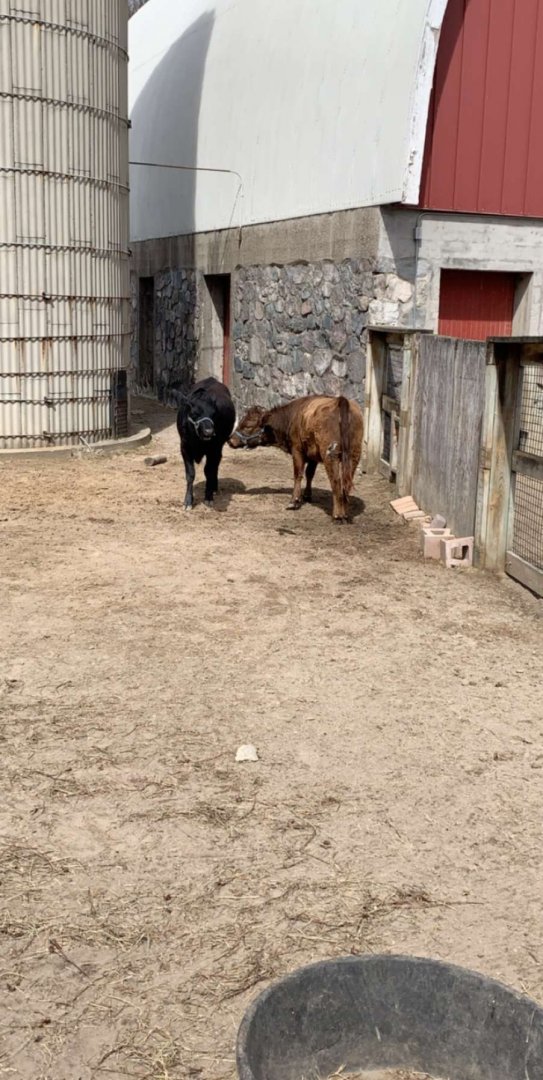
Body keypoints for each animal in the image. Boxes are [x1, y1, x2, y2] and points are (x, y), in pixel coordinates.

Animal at [175, 377, 236, 510]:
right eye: (195, 414)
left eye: (214, 414)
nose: (209, 432)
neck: (198, 440)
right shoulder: (185, 448)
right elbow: (190, 474)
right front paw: (188, 501)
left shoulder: (213, 449)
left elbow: (208, 471)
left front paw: (208, 497)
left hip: (219, 447)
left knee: (215, 466)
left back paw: (214, 488)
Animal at [229, 394, 363, 521]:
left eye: (247, 426)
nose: (230, 440)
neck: (291, 417)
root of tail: (340, 400)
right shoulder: (312, 454)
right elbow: (309, 474)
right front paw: (307, 495)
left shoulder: (297, 450)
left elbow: (298, 474)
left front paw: (294, 501)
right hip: (353, 455)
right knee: (346, 482)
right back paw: (345, 513)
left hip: (330, 455)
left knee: (335, 481)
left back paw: (337, 515)